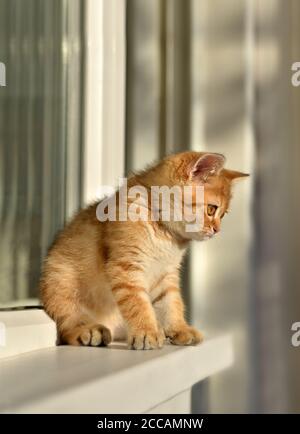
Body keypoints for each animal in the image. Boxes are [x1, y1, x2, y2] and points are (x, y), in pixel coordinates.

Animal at [39, 152, 248, 350]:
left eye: (223, 215)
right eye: (212, 209)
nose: (217, 230)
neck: (164, 234)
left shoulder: (167, 275)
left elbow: (172, 303)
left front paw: (179, 328)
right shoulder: (126, 267)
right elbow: (137, 303)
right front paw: (146, 332)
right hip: (59, 281)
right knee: (67, 324)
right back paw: (90, 330)